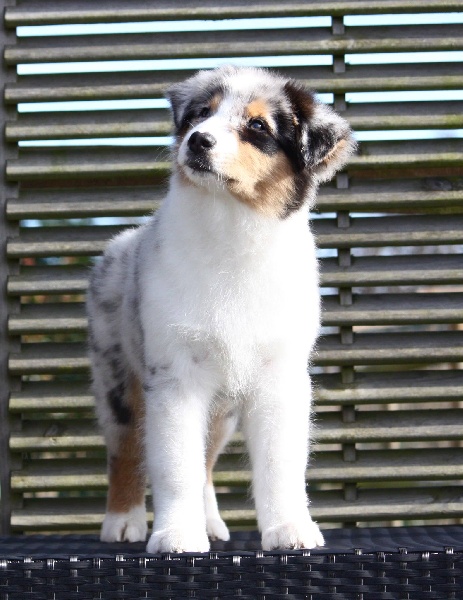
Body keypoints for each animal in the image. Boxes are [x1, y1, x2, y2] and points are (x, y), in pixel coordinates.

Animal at [87, 65, 355, 553]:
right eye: (200, 114)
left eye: (258, 126)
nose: (198, 140)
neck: (232, 231)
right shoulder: (175, 375)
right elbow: (175, 465)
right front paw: (176, 536)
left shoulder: (279, 376)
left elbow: (280, 464)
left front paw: (289, 528)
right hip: (116, 375)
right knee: (126, 449)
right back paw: (123, 521)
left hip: (222, 409)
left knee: (206, 462)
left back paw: (209, 521)